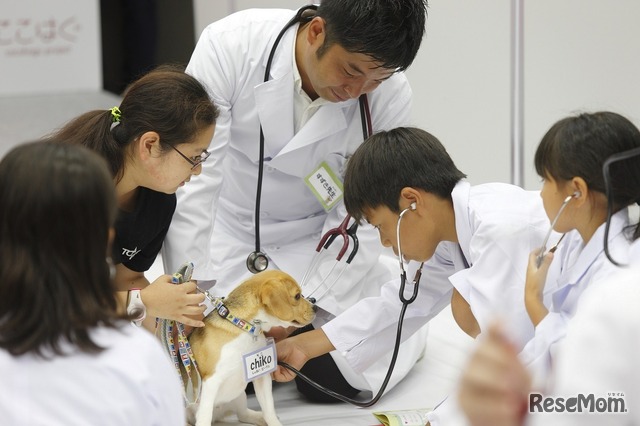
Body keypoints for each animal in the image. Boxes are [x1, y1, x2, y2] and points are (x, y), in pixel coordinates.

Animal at [186, 272, 316, 426]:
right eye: (297, 296)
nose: (316, 307)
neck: (244, 328)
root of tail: (218, 416)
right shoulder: (211, 381)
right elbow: (204, 416)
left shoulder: (262, 377)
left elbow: (269, 409)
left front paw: (273, 422)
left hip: (240, 395)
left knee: (243, 415)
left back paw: (259, 418)